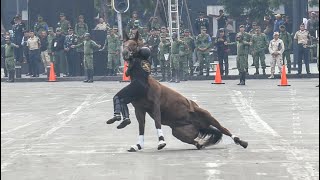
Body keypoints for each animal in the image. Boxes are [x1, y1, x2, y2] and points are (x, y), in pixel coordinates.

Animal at [107, 32, 248, 152]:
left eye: (134, 44)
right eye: (124, 43)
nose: (125, 53)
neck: (144, 82)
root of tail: (198, 124)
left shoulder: (155, 106)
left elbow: (157, 122)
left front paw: (161, 142)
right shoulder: (139, 109)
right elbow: (141, 127)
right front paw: (138, 145)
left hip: (207, 116)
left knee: (223, 129)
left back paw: (241, 141)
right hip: (178, 132)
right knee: (197, 142)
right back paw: (200, 145)